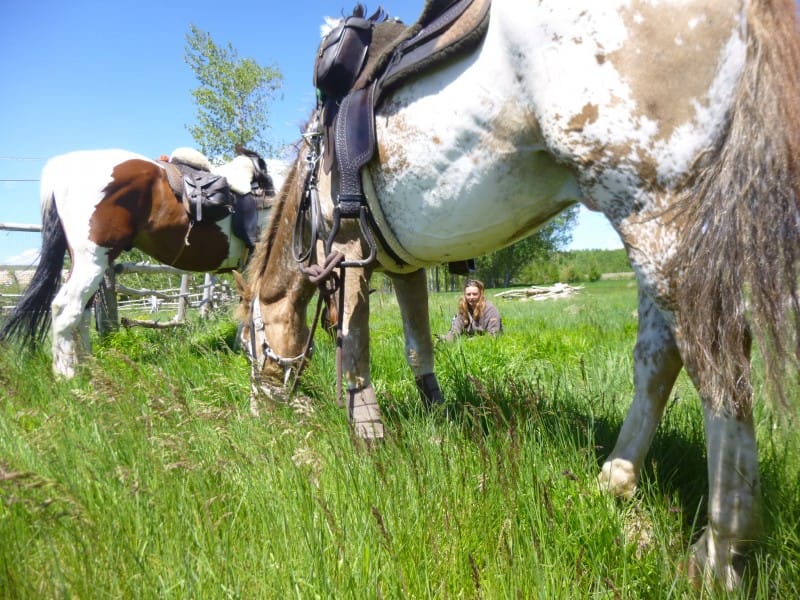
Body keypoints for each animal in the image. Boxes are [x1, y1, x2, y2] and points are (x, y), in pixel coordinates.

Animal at [245, 0, 800, 592]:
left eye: (248, 341)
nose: (261, 410)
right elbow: (419, 344)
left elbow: (354, 345)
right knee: (657, 360)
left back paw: (717, 553)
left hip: (657, 214)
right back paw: (615, 479)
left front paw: (367, 431)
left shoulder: (350, 249)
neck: (314, 176)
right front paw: (436, 412)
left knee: (718, 364)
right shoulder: (405, 267)